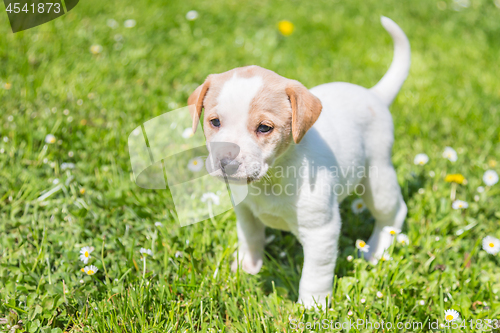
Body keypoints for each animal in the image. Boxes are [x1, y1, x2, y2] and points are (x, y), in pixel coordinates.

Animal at [188, 16, 410, 306]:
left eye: (264, 128)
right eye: (214, 122)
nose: (226, 163)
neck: (271, 178)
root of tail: (374, 95)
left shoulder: (321, 231)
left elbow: (315, 274)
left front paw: (313, 306)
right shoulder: (245, 212)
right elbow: (250, 237)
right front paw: (248, 267)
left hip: (378, 177)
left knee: (393, 214)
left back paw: (376, 250)